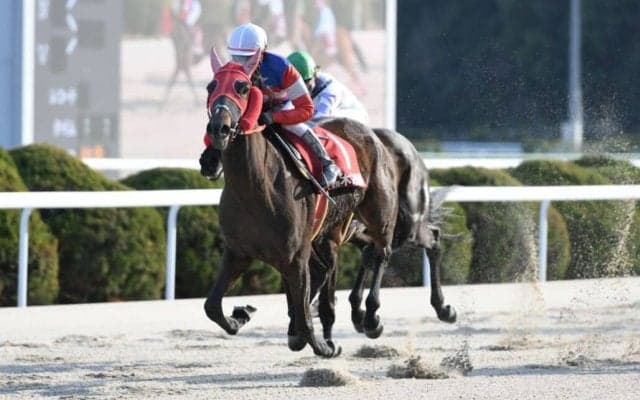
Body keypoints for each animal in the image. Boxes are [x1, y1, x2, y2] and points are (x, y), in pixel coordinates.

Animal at [202, 49, 399, 357]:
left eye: (243, 88)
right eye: (210, 87)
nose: (219, 129)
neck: (255, 188)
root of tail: (367, 132)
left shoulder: (295, 255)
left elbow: (307, 318)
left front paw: (324, 345)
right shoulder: (238, 252)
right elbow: (211, 305)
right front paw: (239, 316)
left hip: (378, 214)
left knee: (379, 252)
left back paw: (370, 318)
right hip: (324, 235)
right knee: (333, 267)